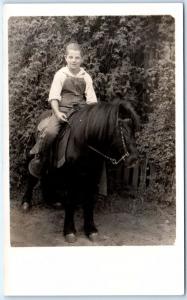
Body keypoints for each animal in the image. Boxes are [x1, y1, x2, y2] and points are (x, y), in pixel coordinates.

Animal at [21, 102, 139, 243]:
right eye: (120, 128)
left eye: (133, 128)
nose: (133, 159)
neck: (83, 141)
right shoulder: (72, 177)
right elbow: (71, 201)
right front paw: (69, 231)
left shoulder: (93, 176)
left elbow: (89, 201)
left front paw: (91, 230)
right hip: (34, 155)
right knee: (33, 176)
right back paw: (26, 203)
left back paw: (52, 201)